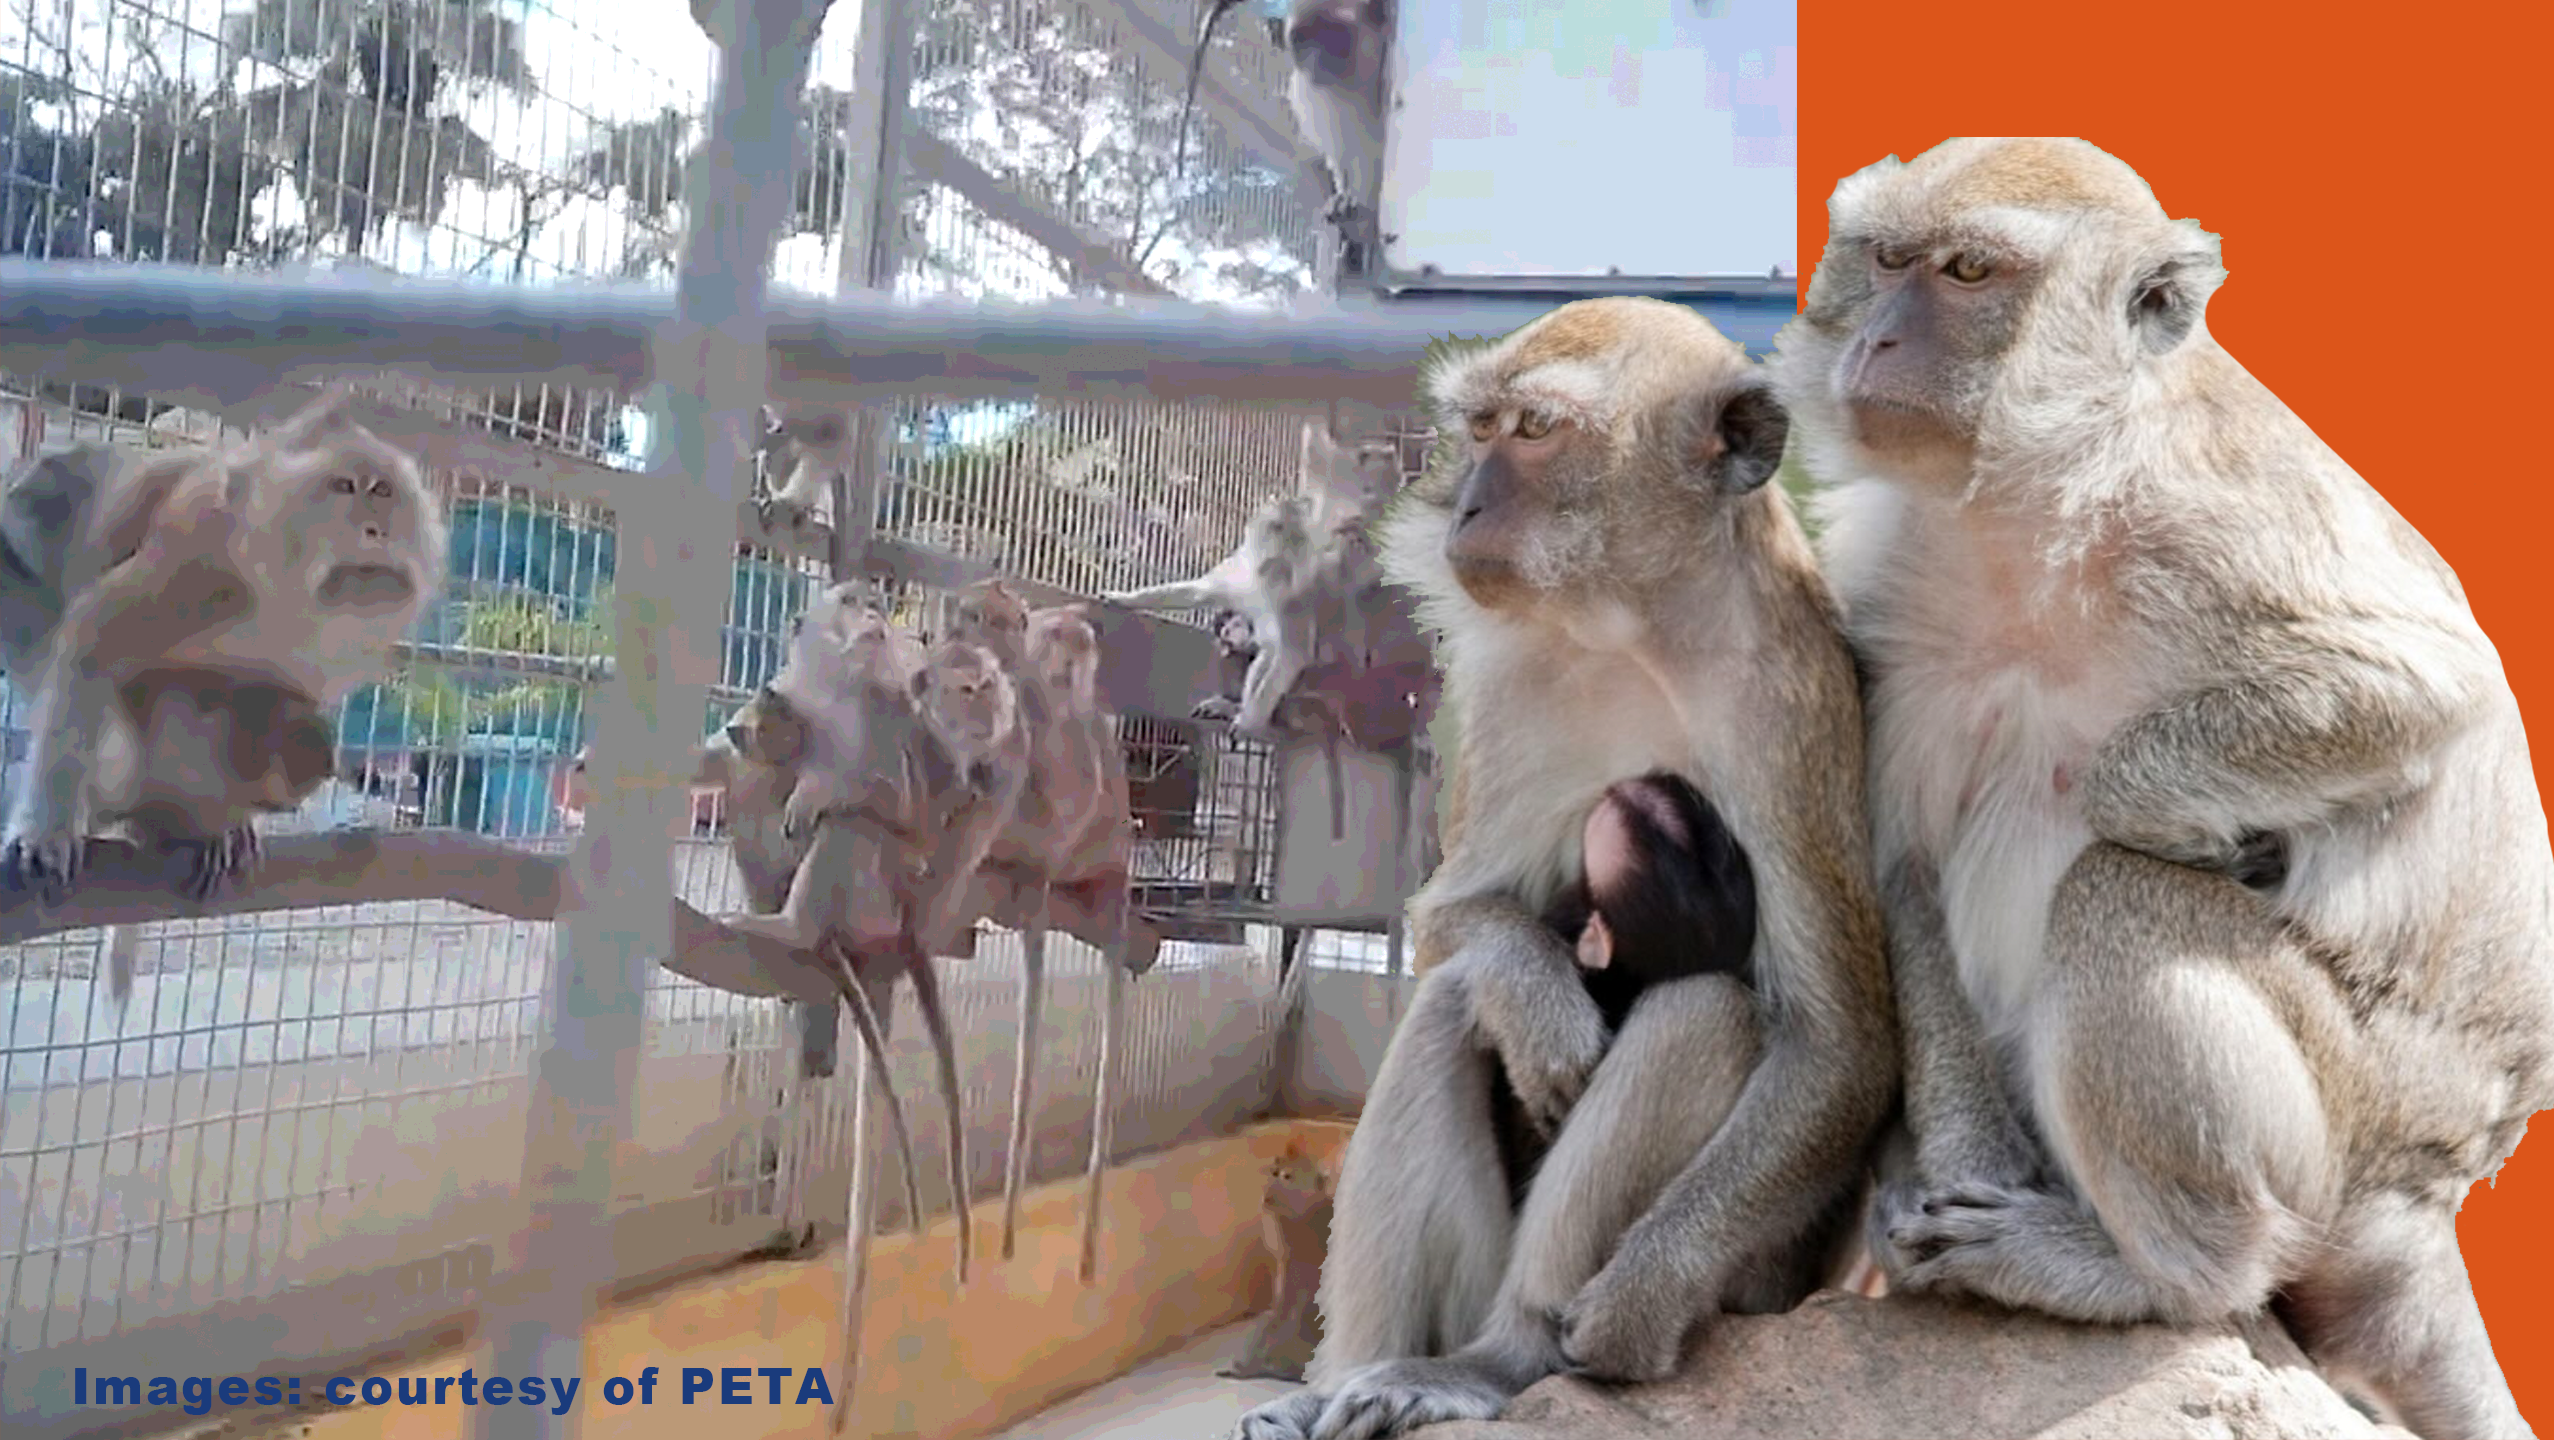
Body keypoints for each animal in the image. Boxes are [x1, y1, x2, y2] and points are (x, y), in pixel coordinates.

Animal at [0, 386, 448, 901]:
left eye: (383, 491)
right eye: (343, 487)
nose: (376, 530)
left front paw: (232, 821)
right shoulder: (207, 572)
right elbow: (93, 639)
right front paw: (45, 834)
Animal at [1233, 296, 1893, 1440]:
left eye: (1536, 432)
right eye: (1481, 428)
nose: (1466, 504)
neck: (1640, 628)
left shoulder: (1792, 703)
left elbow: (1839, 1042)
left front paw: (1635, 1303)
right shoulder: (1509, 684)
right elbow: (1452, 918)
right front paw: (1537, 997)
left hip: (1754, 1283)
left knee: (1705, 1014)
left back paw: (1504, 1359)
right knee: (1449, 1002)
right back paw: (1348, 1376)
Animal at [1770, 137, 2554, 1440]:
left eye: (1968, 272)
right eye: (1881, 260)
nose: (1875, 339)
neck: (2034, 504)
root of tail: (2431, 1197)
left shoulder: (2216, 523)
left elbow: (2426, 685)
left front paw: (2163, 813)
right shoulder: (1888, 591)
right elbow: (1902, 863)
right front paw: (1954, 1170)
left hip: (2350, 1124)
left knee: (2115, 899)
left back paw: (2161, 1274)